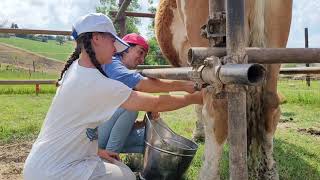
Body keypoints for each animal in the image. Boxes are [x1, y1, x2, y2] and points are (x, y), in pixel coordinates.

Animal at [155, 0, 292, 179]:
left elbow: (198, 105)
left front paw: (198, 133)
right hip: (274, 48)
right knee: (270, 104)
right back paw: (269, 171)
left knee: (217, 111)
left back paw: (207, 173)